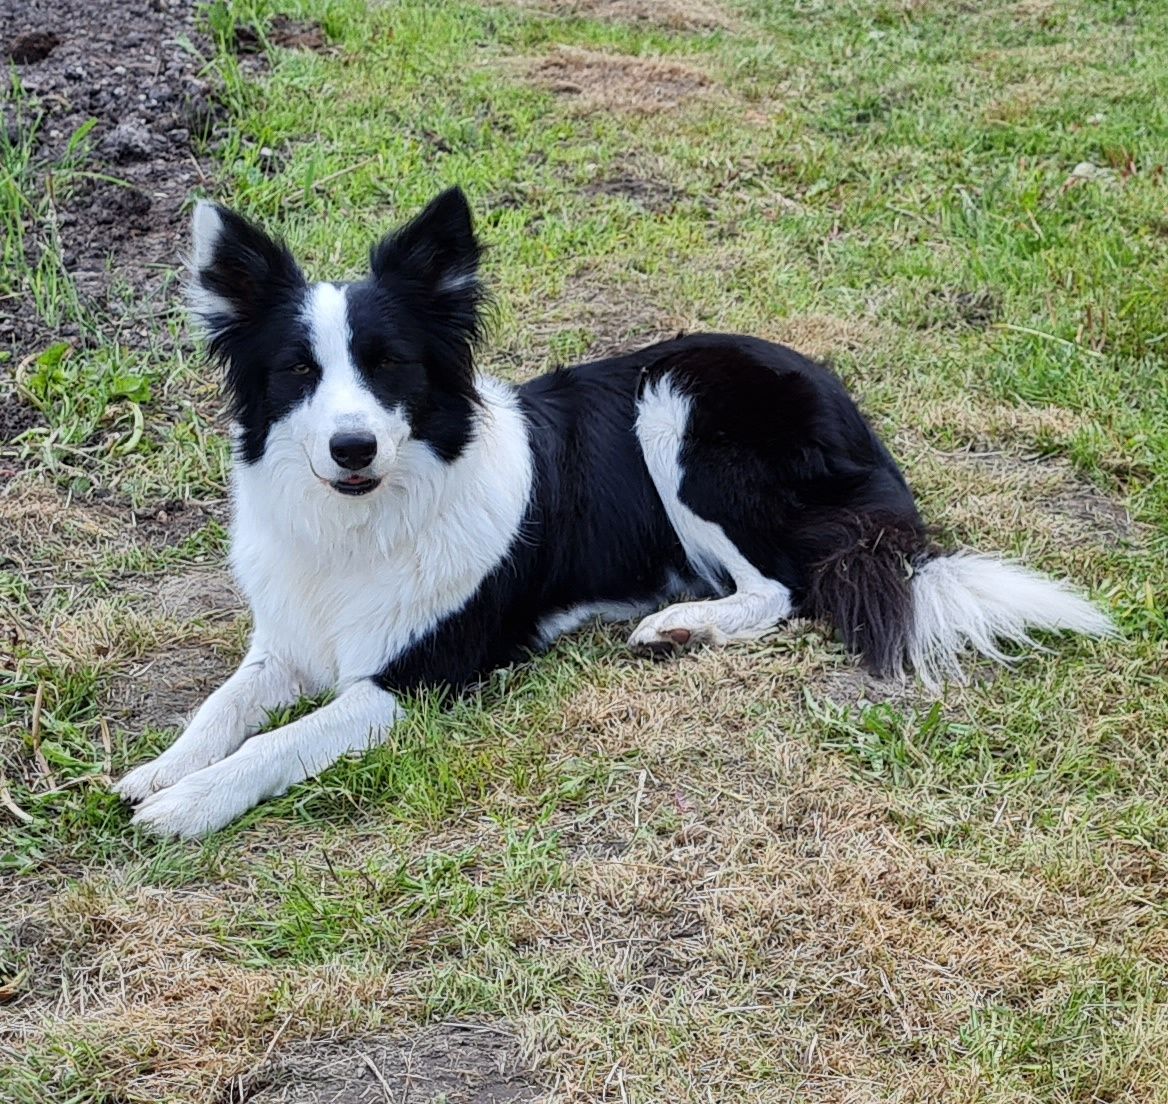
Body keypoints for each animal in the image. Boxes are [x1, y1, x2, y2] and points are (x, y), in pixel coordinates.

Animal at [116, 186, 1111, 836]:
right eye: (299, 371)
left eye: (389, 363)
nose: (351, 449)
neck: (365, 524)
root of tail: (849, 406)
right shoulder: (287, 640)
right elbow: (223, 707)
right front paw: (157, 770)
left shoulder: (422, 675)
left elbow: (282, 742)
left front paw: (188, 804)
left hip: (676, 406)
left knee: (780, 588)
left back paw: (682, 625)